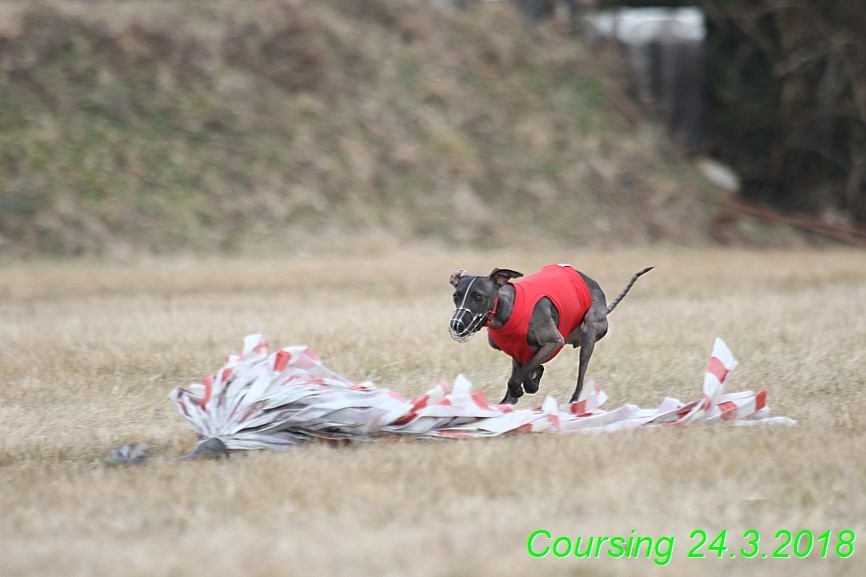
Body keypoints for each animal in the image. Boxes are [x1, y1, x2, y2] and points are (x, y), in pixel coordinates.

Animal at [448, 264, 652, 402]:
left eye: (478, 297)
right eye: (455, 296)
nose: (456, 325)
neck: (507, 309)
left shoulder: (553, 342)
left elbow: (518, 378)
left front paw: (525, 386)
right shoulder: (517, 351)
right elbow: (522, 373)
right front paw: (524, 387)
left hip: (589, 332)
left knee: (581, 375)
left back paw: (573, 401)